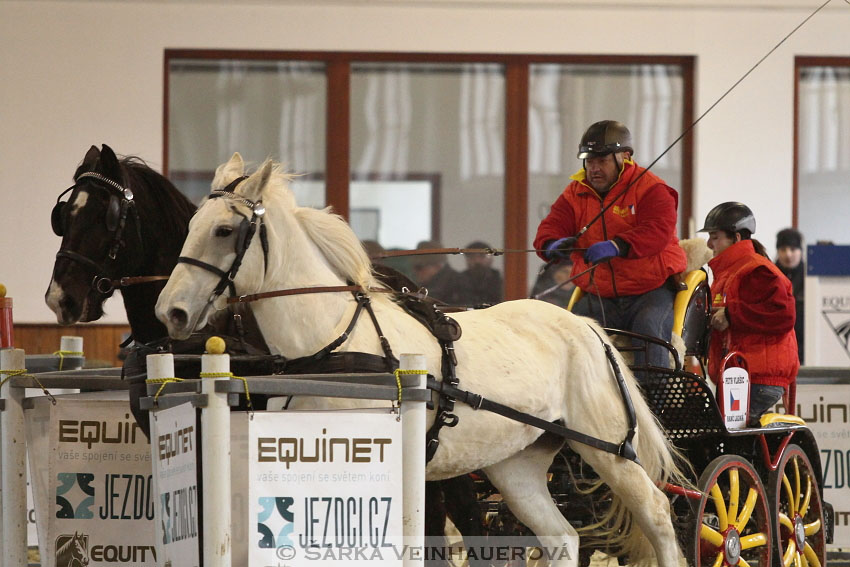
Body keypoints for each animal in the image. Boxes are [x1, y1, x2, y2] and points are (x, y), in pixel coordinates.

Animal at [159, 154, 684, 567]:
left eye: (225, 230)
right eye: (189, 228)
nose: (171, 311)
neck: (331, 343)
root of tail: (588, 328)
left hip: (607, 447)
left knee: (659, 516)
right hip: (517, 466)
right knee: (562, 538)